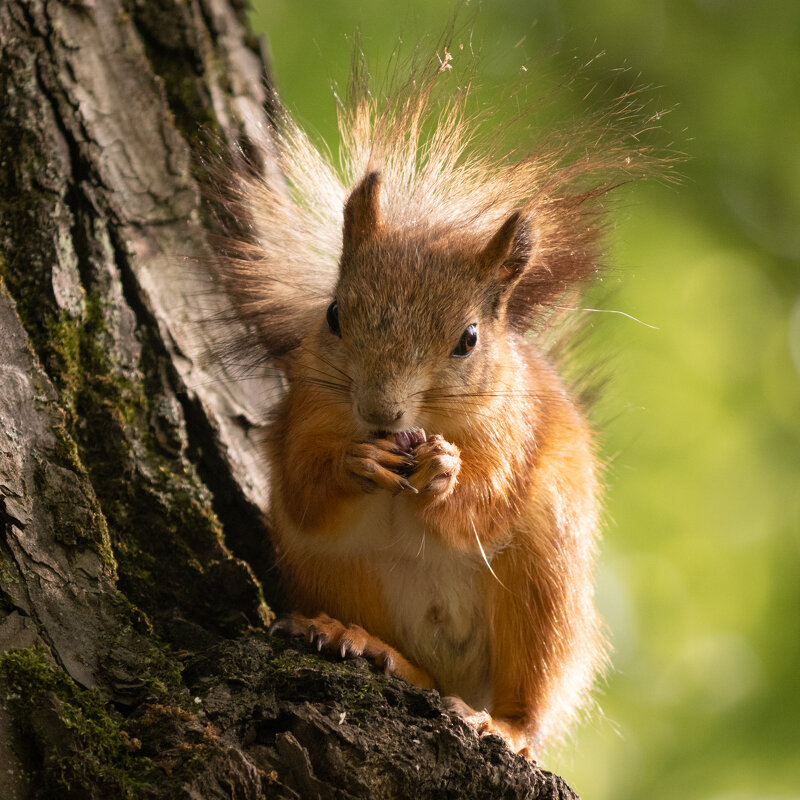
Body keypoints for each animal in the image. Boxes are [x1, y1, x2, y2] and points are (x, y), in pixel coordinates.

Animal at [212, 42, 656, 756]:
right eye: (333, 315)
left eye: (468, 339)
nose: (380, 414)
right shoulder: (307, 412)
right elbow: (306, 491)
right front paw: (356, 465)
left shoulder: (513, 433)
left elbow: (488, 506)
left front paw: (447, 474)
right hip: (341, 573)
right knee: (418, 666)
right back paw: (360, 641)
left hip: (543, 589)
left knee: (530, 694)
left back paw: (504, 725)